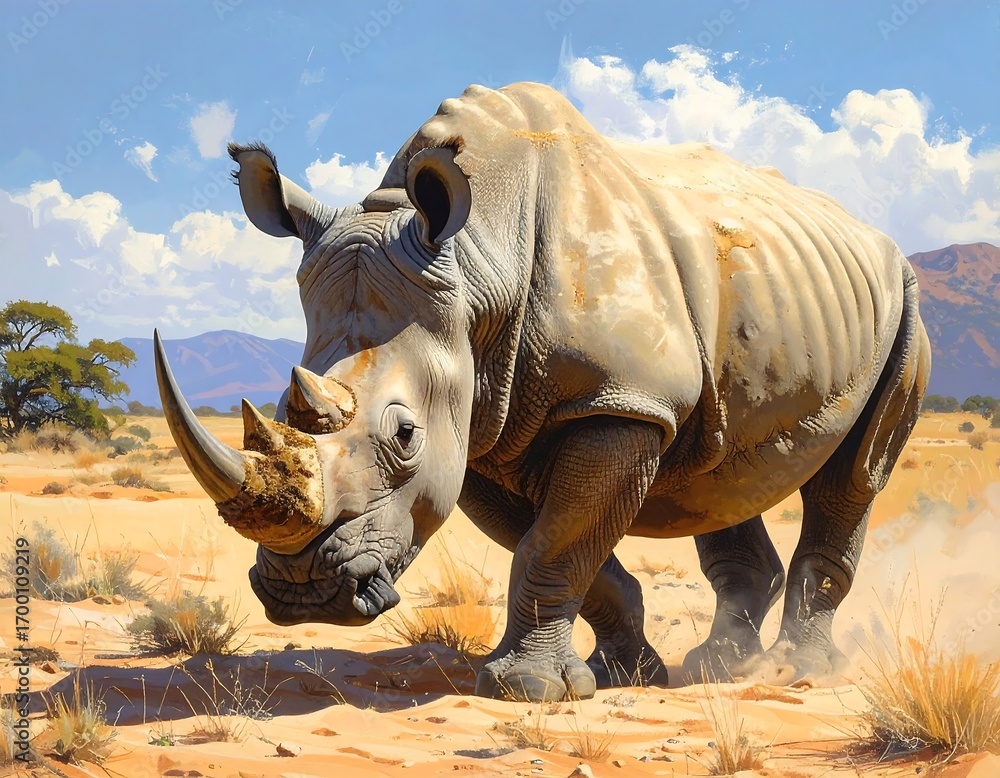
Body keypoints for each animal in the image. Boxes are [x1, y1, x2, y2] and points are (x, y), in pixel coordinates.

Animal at [155, 81, 930, 702]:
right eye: (278, 411)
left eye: (403, 436)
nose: (301, 588)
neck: (476, 265)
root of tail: (872, 235)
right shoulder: (482, 425)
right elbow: (567, 550)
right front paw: (627, 677)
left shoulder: (619, 403)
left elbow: (555, 545)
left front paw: (527, 691)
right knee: (718, 472)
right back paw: (717, 666)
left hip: (905, 305)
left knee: (853, 475)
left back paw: (796, 672)